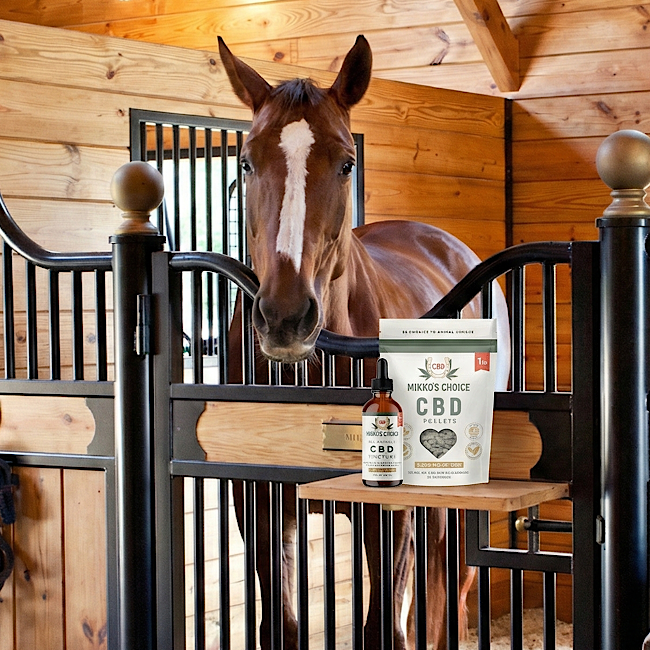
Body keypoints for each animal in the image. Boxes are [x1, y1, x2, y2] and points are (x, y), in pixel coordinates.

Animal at [218, 35, 510, 650]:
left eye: (346, 161)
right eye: (247, 160)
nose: (285, 318)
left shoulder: (387, 513)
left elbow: (386, 626)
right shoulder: (259, 508)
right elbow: (282, 624)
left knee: (450, 591)